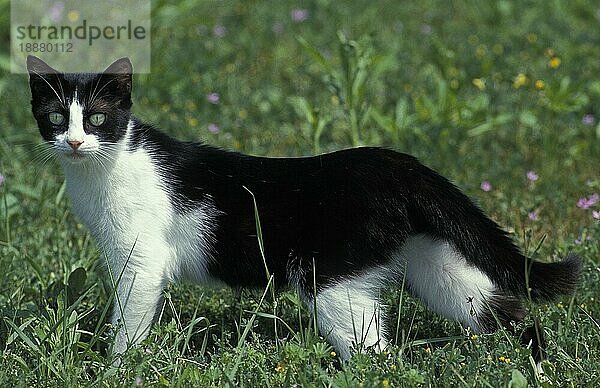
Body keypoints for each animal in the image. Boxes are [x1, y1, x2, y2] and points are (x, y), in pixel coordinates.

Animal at [28, 55, 580, 364]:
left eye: (98, 118)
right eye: (55, 117)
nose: (73, 141)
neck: (105, 167)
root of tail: (401, 165)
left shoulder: (140, 262)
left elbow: (129, 324)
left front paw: (116, 368)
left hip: (330, 279)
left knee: (377, 355)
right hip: (436, 262)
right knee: (504, 312)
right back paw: (535, 365)